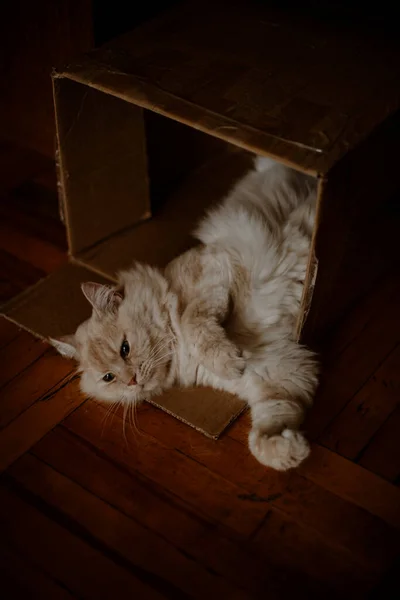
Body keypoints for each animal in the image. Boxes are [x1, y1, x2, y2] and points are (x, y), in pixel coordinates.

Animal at [53, 156, 320, 474]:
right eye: (108, 378)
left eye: (125, 348)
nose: (131, 381)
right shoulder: (277, 373)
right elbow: (267, 427)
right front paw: (291, 452)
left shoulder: (216, 270)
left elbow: (194, 322)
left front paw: (227, 360)